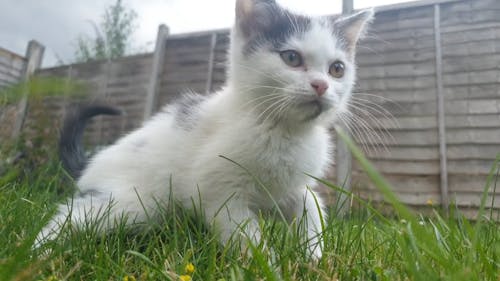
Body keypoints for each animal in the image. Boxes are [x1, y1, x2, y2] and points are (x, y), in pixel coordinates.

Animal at [35, 0, 374, 258]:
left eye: (337, 69)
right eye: (291, 57)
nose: (321, 85)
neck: (282, 130)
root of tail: (93, 161)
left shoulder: (289, 187)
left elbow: (311, 204)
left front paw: (313, 257)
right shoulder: (217, 191)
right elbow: (246, 235)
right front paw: (267, 266)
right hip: (132, 201)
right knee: (75, 215)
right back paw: (40, 252)